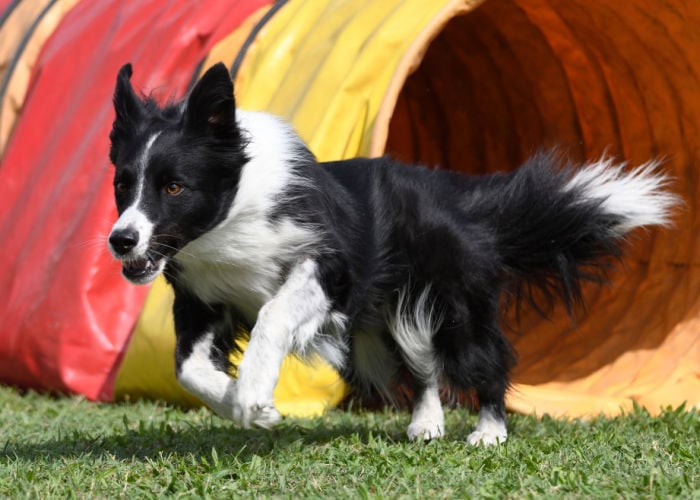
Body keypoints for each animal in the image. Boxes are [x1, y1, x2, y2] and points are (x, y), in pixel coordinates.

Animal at [108, 63, 680, 446]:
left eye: (175, 187)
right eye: (122, 184)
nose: (121, 240)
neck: (232, 210)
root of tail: (456, 200)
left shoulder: (330, 268)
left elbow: (272, 314)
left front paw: (252, 394)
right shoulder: (203, 299)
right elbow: (188, 370)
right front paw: (251, 406)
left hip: (452, 303)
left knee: (486, 360)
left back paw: (489, 430)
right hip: (377, 330)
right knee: (420, 367)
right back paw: (426, 424)